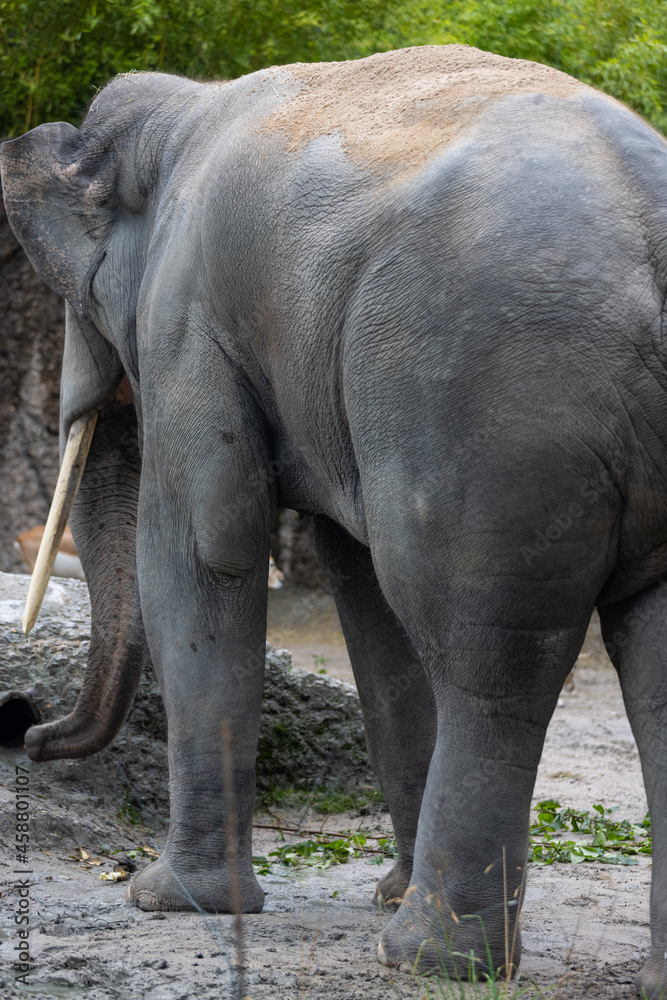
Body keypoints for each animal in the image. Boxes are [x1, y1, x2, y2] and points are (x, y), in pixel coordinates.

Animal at [2, 42, 667, 992]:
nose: (25, 725)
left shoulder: (188, 323)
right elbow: (364, 597)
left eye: (73, 298)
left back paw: (427, 957)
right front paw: (381, 889)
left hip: (492, 414)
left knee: (489, 658)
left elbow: (207, 551)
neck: (181, 111)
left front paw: (167, 901)